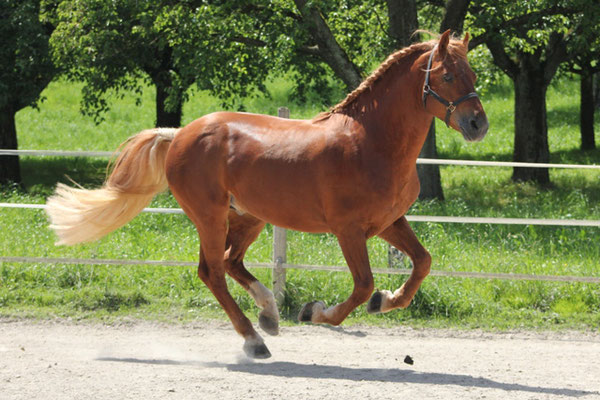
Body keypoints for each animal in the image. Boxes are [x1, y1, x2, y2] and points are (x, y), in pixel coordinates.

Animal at [47, 29, 488, 358]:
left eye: (473, 74)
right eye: (447, 76)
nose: (478, 124)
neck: (371, 142)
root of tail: (179, 134)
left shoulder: (388, 222)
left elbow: (422, 263)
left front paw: (386, 300)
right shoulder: (348, 230)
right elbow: (362, 284)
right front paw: (314, 312)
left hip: (249, 217)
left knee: (230, 263)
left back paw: (269, 317)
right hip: (210, 216)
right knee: (212, 271)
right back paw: (255, 339)